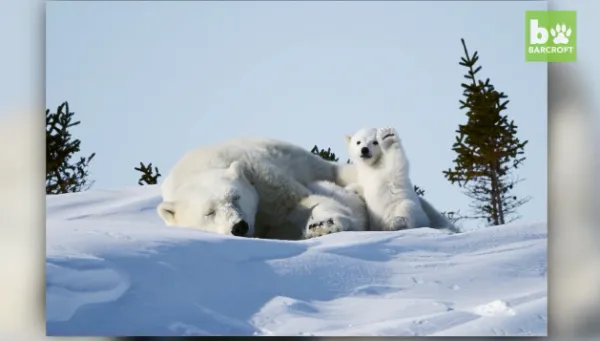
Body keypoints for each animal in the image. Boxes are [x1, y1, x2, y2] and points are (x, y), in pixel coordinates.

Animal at [157, 136, 360, 239]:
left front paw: (324, 224)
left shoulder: (262, 180)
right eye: (209, 212)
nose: (239, 227)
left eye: (236, 196)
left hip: (313, 164)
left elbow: (301, 200)